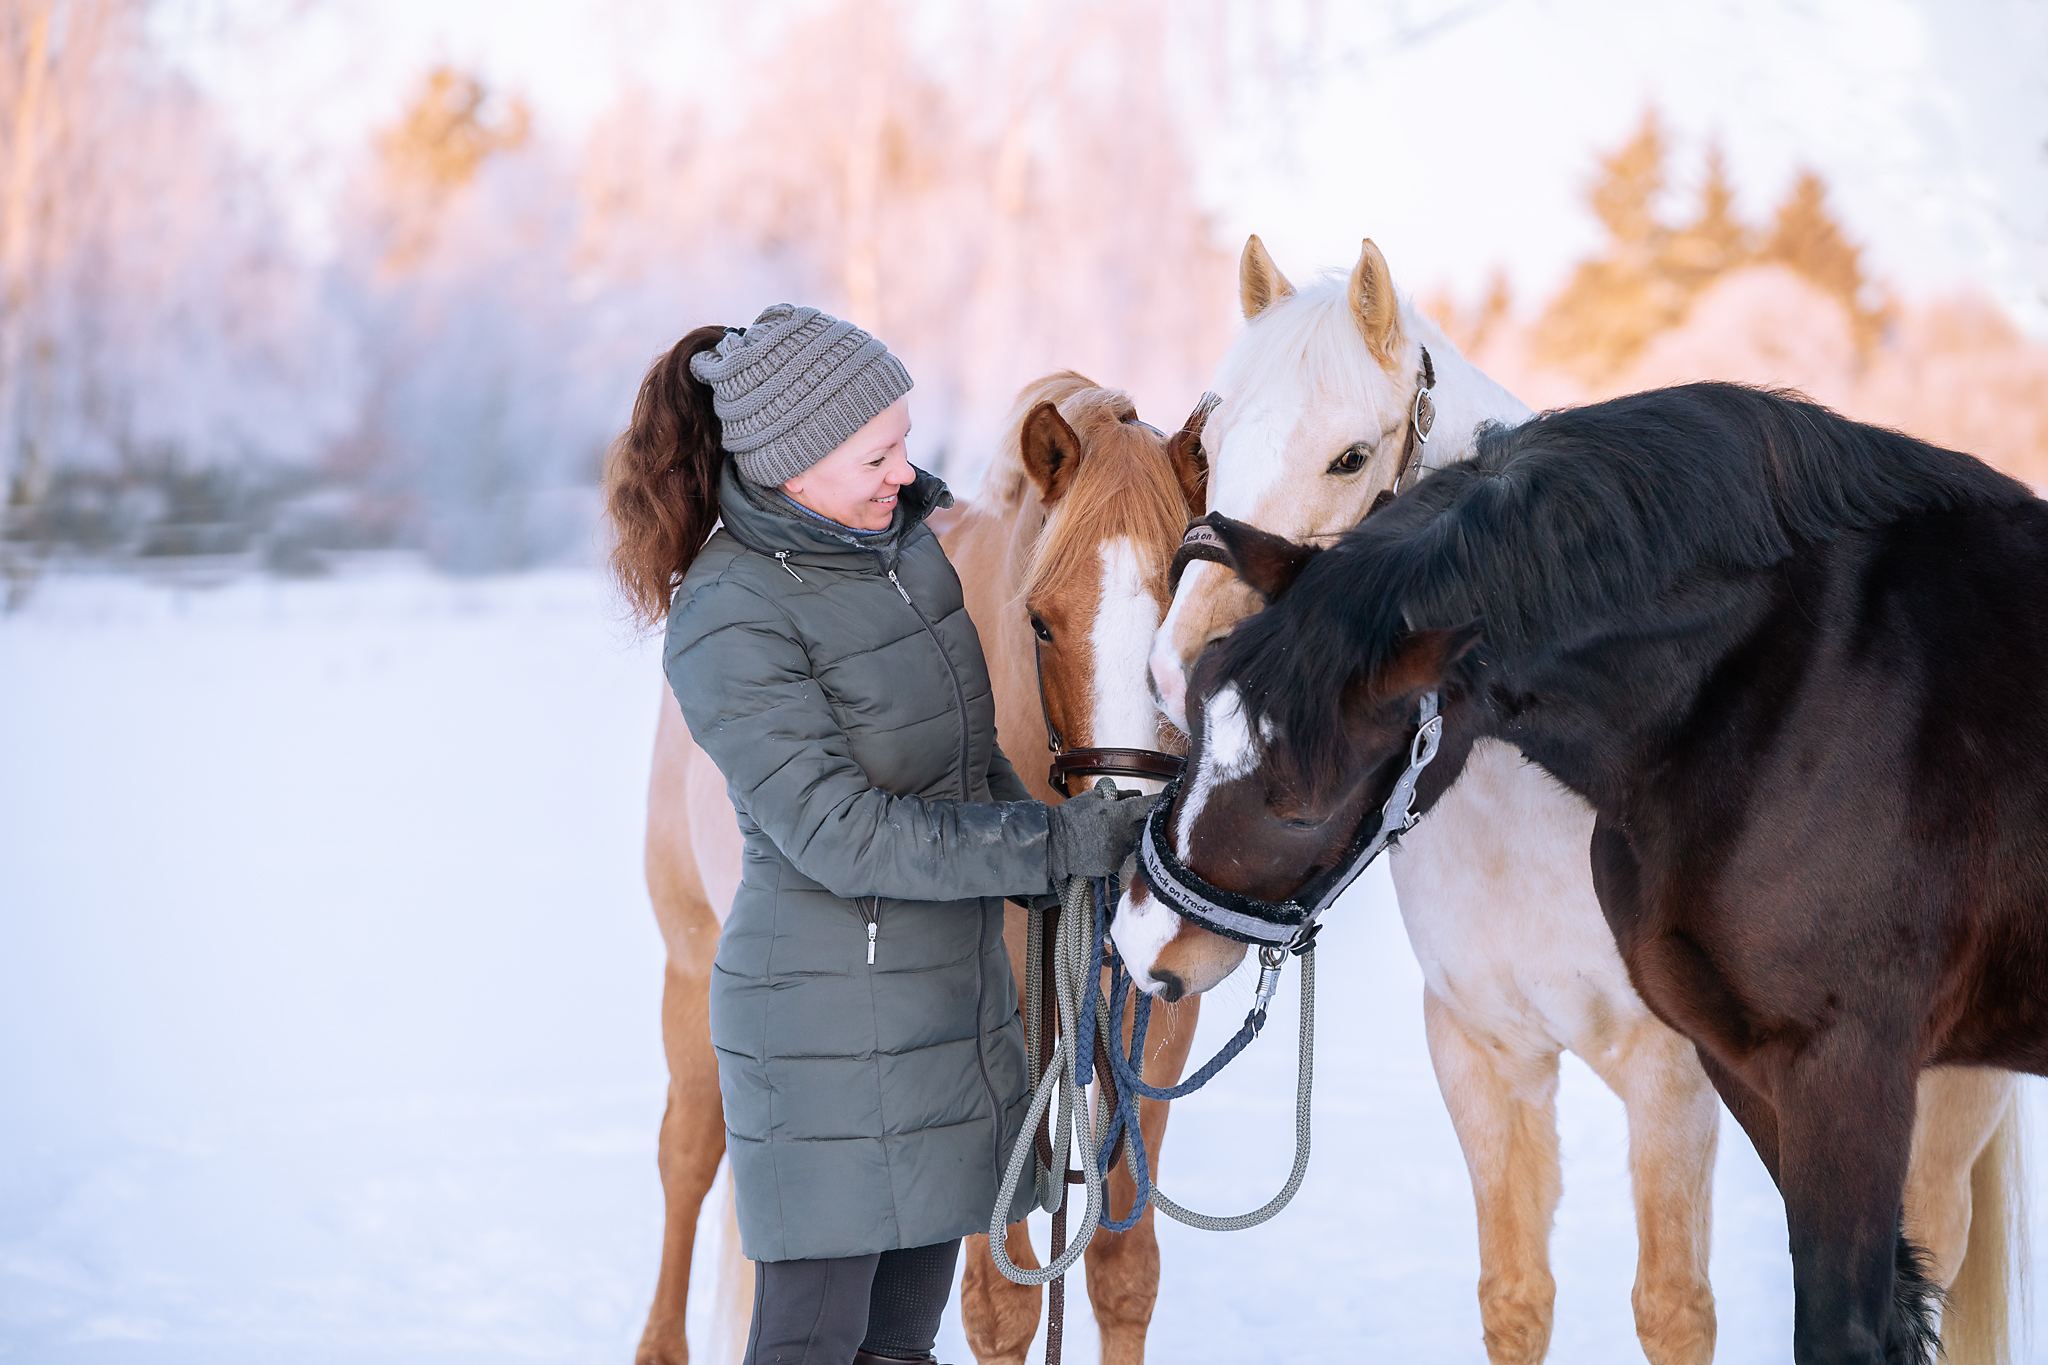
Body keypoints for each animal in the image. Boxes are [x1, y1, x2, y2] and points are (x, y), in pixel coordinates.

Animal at [634, 374, 1212, 1365]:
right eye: (1041, 621)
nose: (1131, 839)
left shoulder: (1150, 1026)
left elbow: (1124, 1270)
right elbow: (1001, 1303)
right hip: (688, 964)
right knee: (688, 1158)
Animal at [1130, 235, 2023, 1365]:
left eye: (1349, 457)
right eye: (1206, 445)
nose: (1172, 667)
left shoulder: (1676, 1071)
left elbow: (1674, 1305)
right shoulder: (1482, 1051)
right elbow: (1514, 1296)